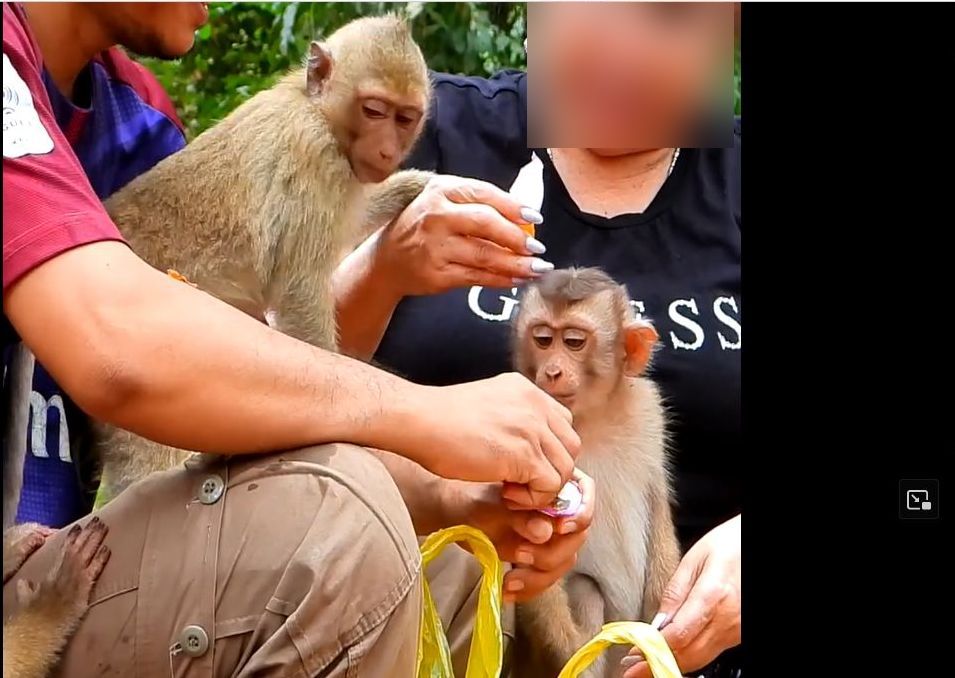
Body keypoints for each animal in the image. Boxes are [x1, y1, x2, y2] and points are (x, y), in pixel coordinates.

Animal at [91, 14, 436, 504]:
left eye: (405, 118)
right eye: (373, 110)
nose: (388, 151)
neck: (315, 109)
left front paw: (415, 186)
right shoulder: (316, 158)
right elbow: (299, 290)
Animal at [512, 268, 684, 676]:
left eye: (574, 342)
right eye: (543, 339)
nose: (552, 370)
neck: (590, 417)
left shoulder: (648, 408)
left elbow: (657, 503)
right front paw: (570, 653)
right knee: (585, 590)